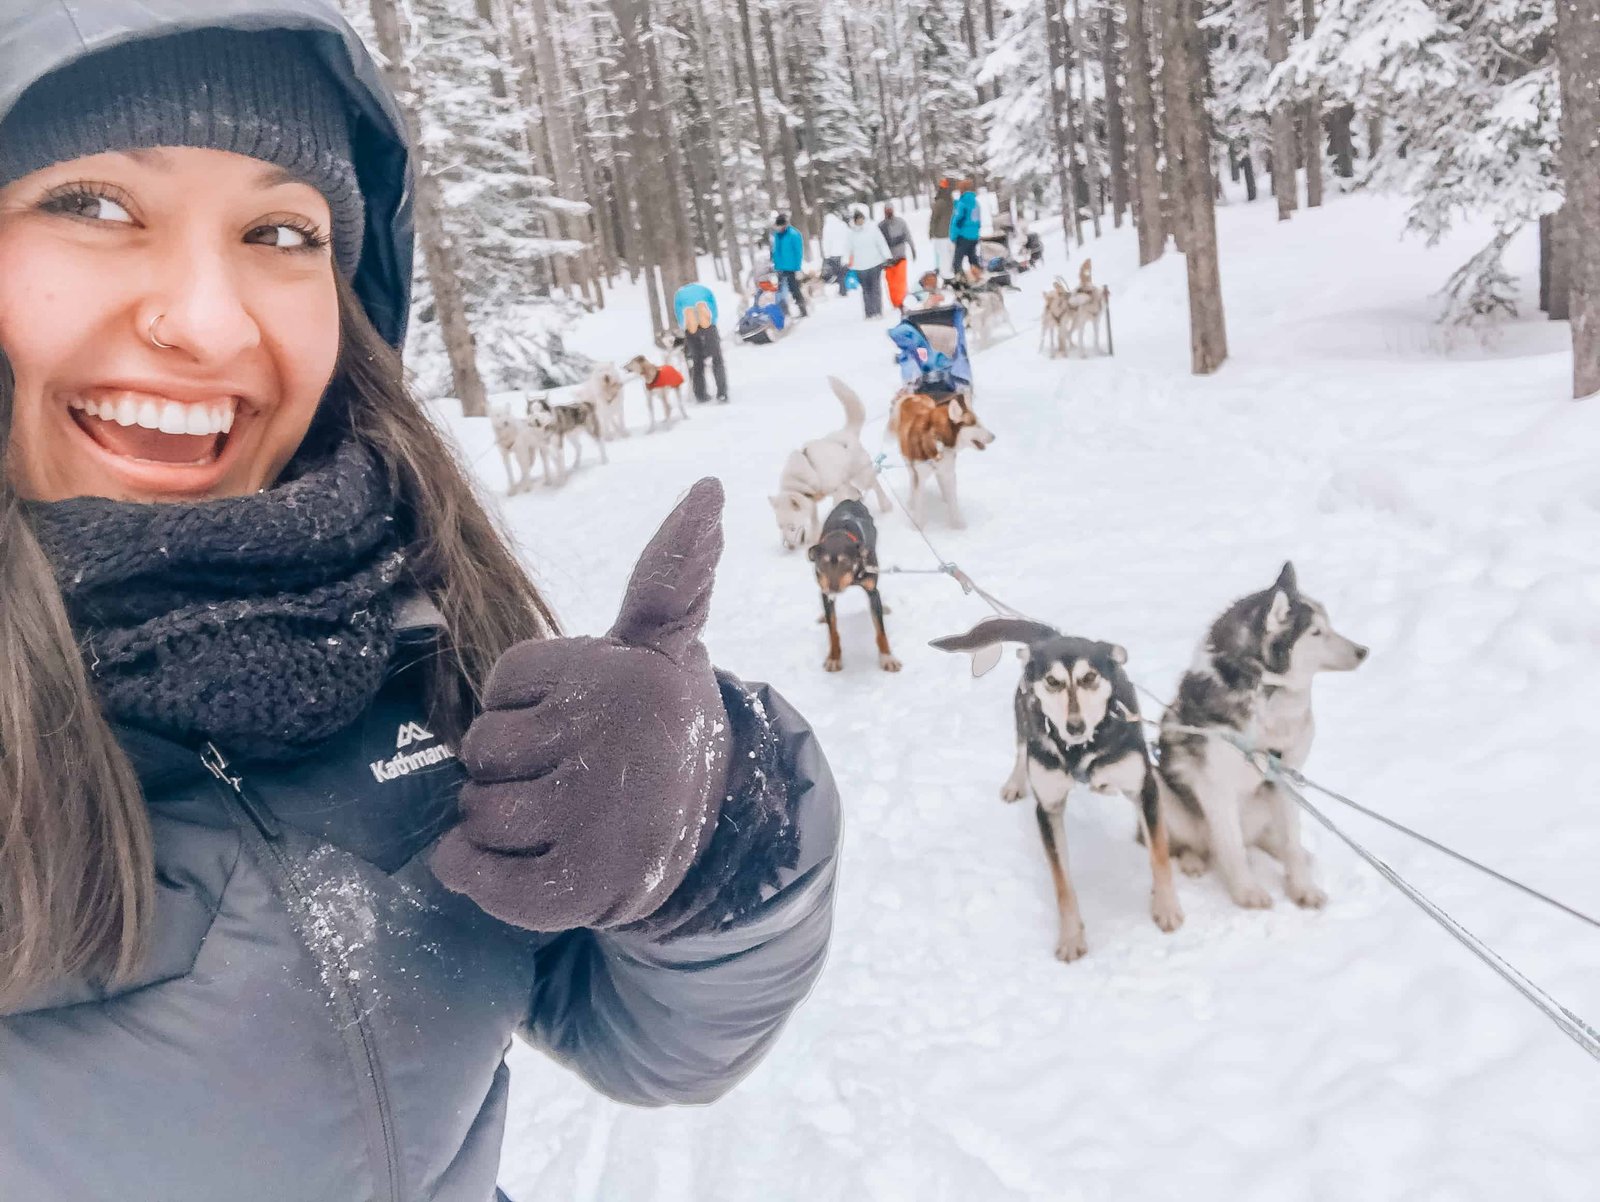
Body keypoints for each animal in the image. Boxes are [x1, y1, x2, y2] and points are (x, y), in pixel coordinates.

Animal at [768, 377, 896, 553]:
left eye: (792, 527)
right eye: (780, 527)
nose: (790, 547)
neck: (802, 481)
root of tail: (847, 432)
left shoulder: (835, 488)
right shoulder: (814, 501)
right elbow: (814, 520)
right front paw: (814, 537)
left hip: (861, 476)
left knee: (875, 484)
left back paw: (885, 505)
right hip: (848, 478)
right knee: (857, 489)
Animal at [812, 496, 902, 672]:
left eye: (846, 562)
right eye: (823, 564)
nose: (833, 588)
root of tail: (850, 500)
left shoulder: (872, 590)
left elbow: (881, 631)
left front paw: (887, 658)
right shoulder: (825, 593)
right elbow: (833, 630)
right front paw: (834, 657)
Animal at [1158, 563, 1369, 909]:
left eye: (1328, 625)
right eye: (1316, 632)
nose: (1364, 651)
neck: (1267, 692)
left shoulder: (1286, 779)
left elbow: (1292, 842)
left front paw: (1302, 888)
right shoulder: (1216, 788)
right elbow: (1232, 848)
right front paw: (1247, 892)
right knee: (1194, 844)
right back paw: (1192, 860)